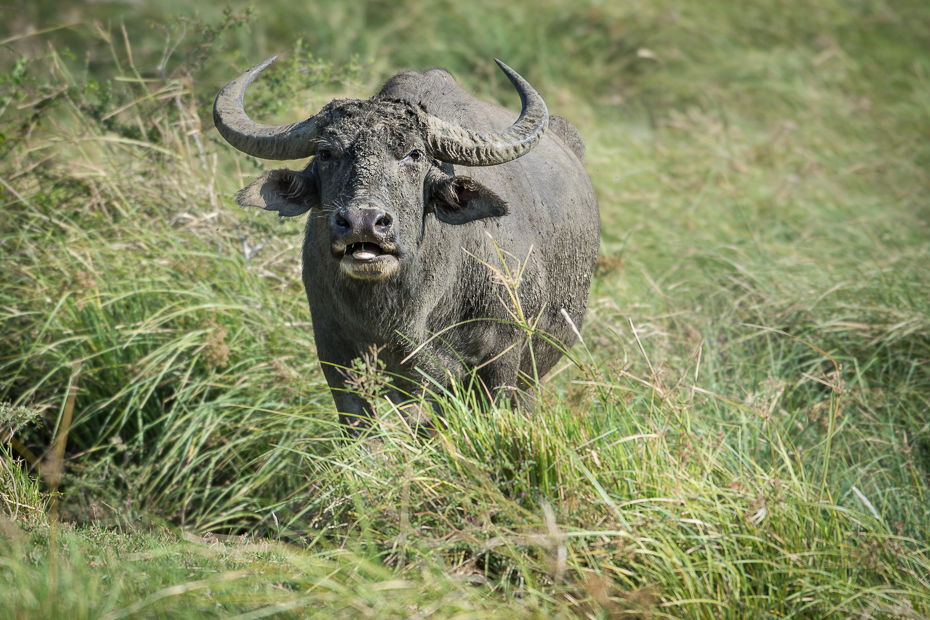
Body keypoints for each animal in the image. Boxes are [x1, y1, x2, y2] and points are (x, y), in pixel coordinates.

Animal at [213, 60, 600, 434]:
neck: (406, 312)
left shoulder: (500, 358)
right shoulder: (337, 355)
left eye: (414, 154)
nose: (363, 221)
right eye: (326, 153)